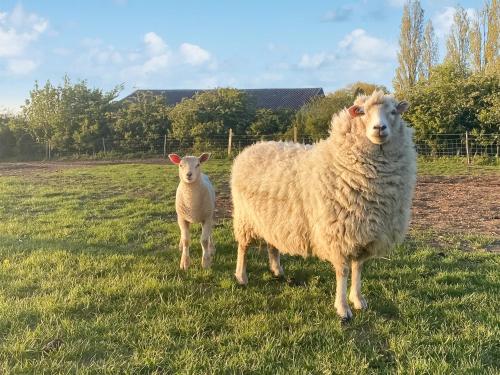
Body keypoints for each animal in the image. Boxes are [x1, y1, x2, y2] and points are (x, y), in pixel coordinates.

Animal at [231, 90, 418, 320]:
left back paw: (277, 270)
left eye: (393, 112)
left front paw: (358, 300)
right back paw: (241, 276)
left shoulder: (363, 232)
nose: (379, 128)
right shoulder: (339, 234)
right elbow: (343, 271)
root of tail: (251, 147)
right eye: (362, 112)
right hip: (244, 217)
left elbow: (358, 268)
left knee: (272, 243)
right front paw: (343, 308)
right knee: (243, 247)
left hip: (272, 218)